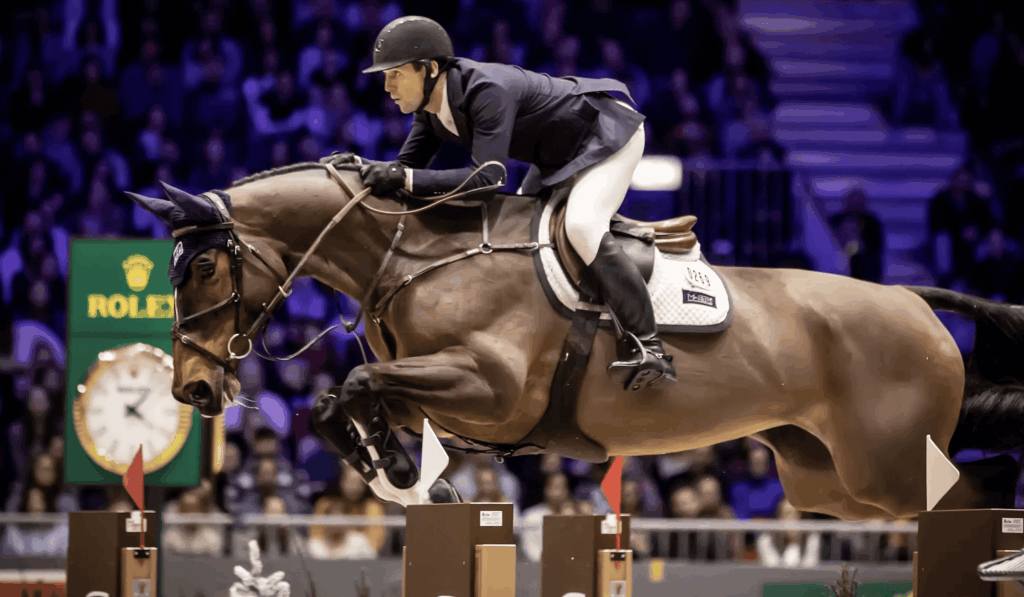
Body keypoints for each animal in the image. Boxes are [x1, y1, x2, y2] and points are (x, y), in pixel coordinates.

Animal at [126, 161, 1024, 520]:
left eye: (201, 267)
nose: (192, 389)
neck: (414, 256)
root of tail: (908, 297)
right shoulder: (438, 390)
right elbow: (336, 398)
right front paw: (395, 465)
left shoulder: (487, 387)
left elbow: (351, 386)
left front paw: (399, 469)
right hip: (824, 477)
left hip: (885, 466)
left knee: (974, 489)